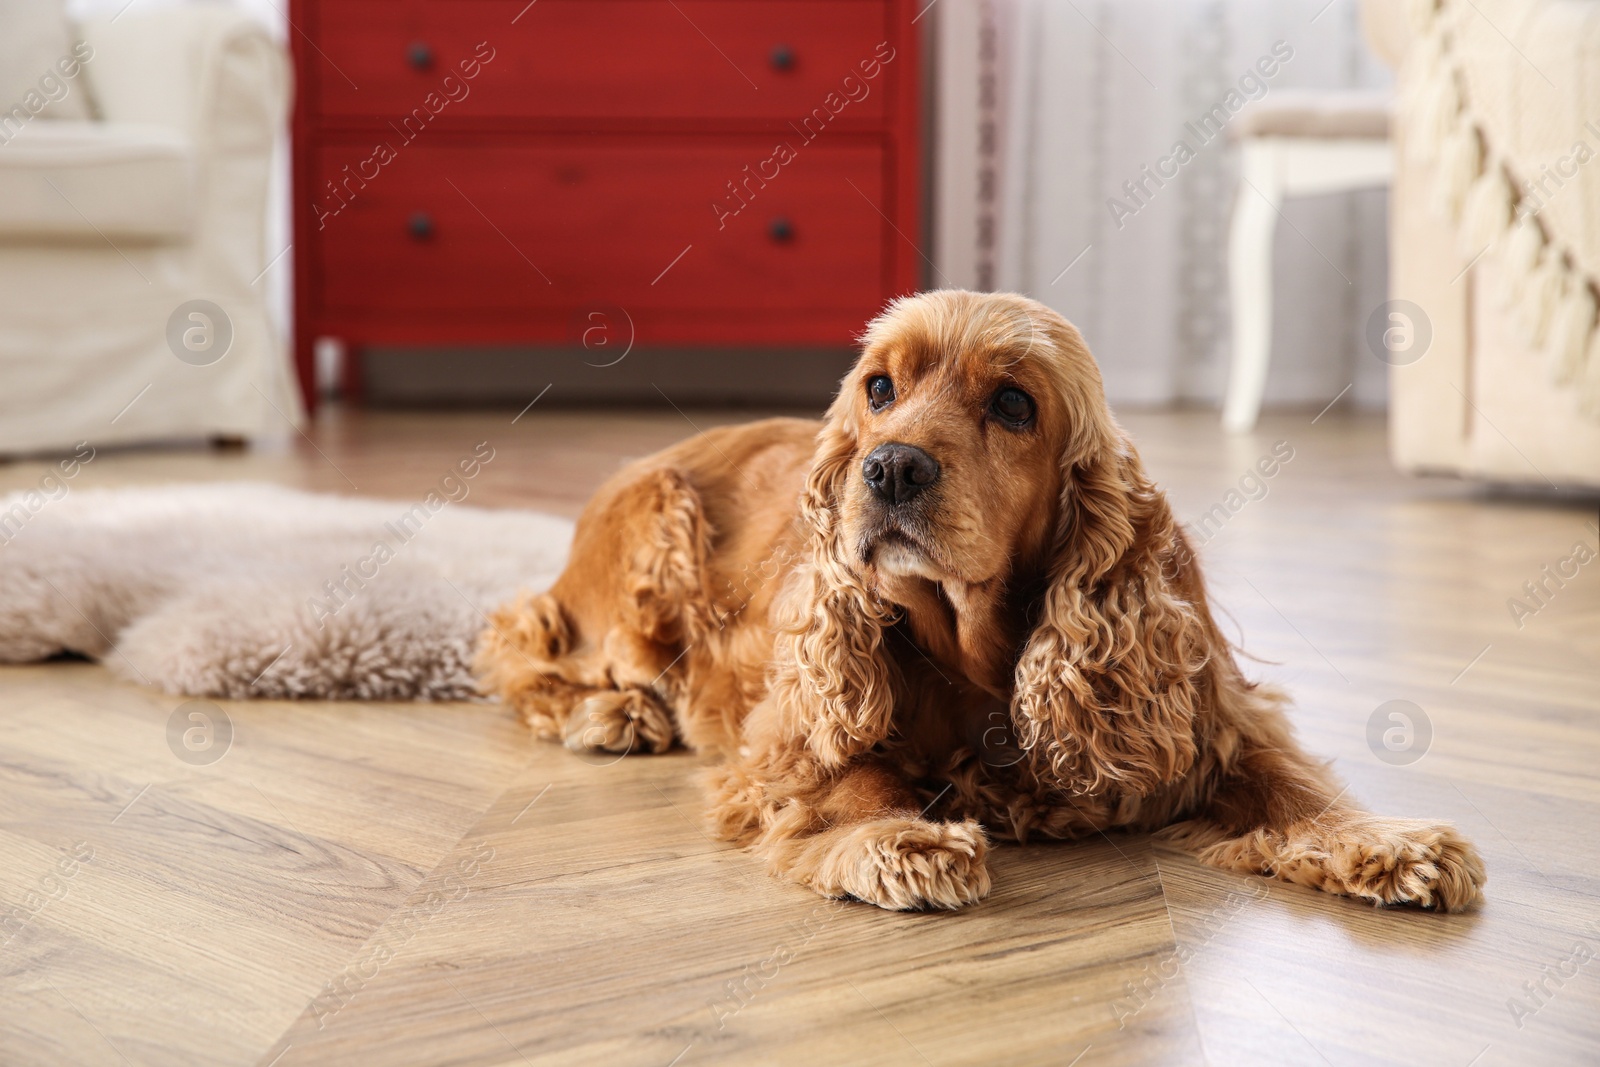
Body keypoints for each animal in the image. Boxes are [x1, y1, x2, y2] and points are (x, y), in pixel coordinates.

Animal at [476, 289, 1484, 908]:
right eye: (880, 388)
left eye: (1012, 404)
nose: (888, 467)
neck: (976, 653)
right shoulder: (789, 723)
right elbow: (849, 770)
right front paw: (894, 837)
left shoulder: (1208, 713)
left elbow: (1289, 778)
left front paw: (1383, 840)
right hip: (654, 535)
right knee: (522, 643)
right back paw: (610, 713)